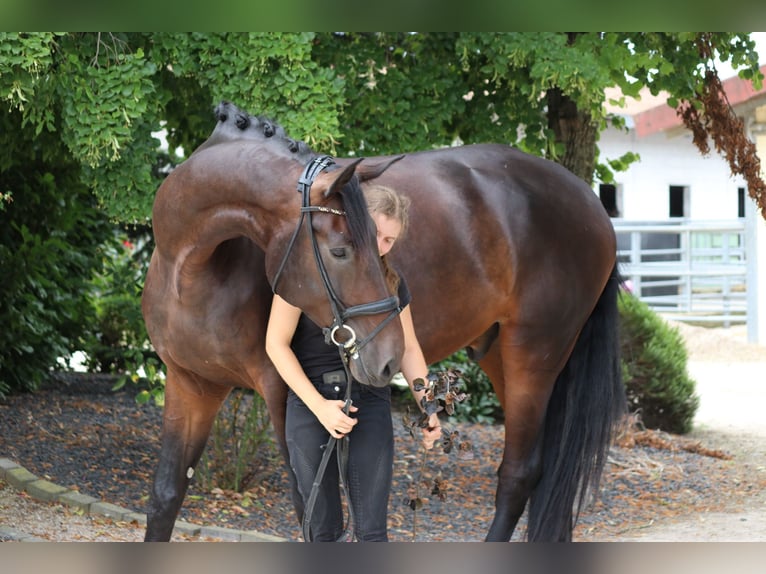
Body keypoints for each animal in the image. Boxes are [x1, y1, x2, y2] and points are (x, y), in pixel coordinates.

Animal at [142, 102, 624, 544]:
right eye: (340, 250)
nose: (390, 358)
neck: (194, 270)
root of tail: (591, 203)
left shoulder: (280, 391)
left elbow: (308, 509)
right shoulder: (190, 383)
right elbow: (165, 496)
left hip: (534, 354)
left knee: (519, 474)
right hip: (500, 357)